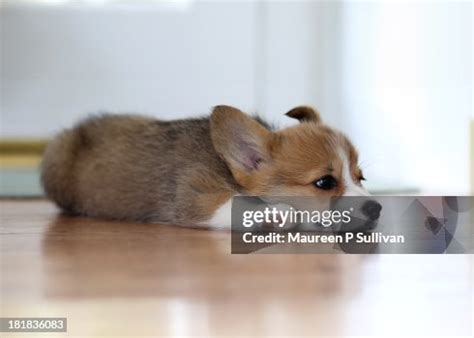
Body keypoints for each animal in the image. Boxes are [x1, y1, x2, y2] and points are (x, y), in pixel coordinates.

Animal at [40, 104, 372, 228]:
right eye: (325, 182)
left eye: (361, 177)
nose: (376, 208)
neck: (225, 165)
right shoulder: (195, 199)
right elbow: (236, 205)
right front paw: (279, 212)